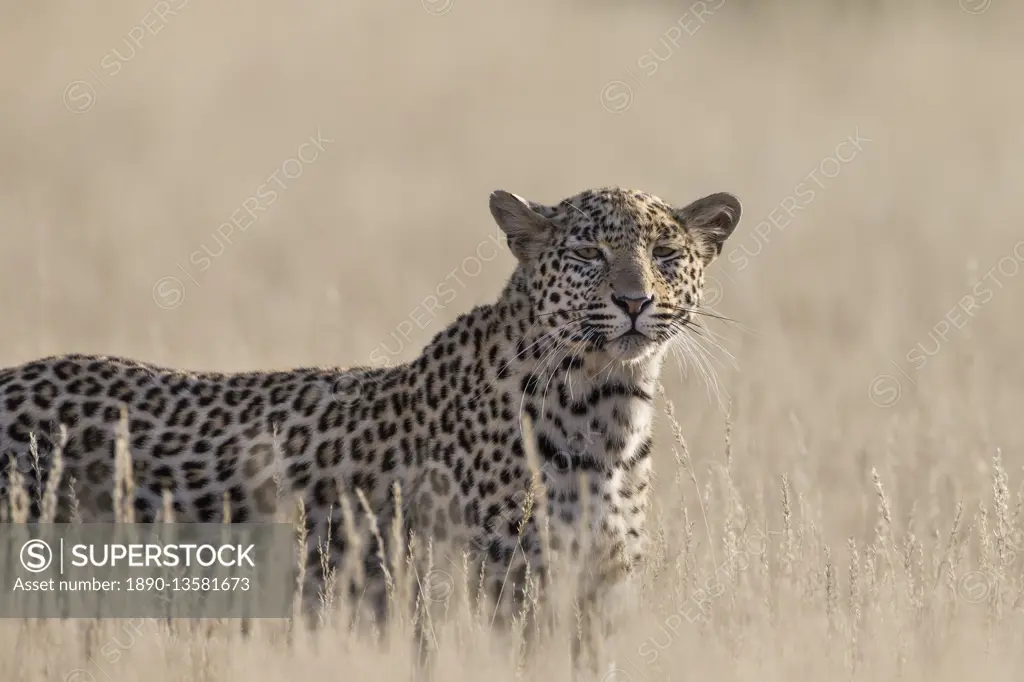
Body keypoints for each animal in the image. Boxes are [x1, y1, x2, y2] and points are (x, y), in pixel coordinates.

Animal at [0, 186, 737, 675]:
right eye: (587, 251)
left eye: (666, 254)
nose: (635, 300)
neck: (608, 407)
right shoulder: (505, 590)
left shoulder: (599, 592)